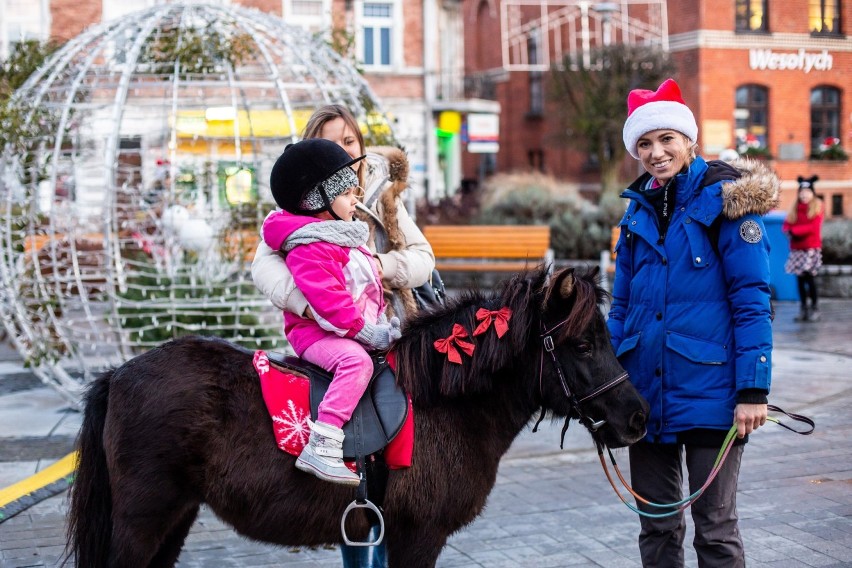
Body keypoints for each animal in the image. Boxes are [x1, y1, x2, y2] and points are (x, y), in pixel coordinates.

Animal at [66, 268, 648, 568]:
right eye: (582, 344)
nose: (639, 418)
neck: (444, 403)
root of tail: (118, 373)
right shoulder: (420, 536)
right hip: (144, 519)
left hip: (174, 518)